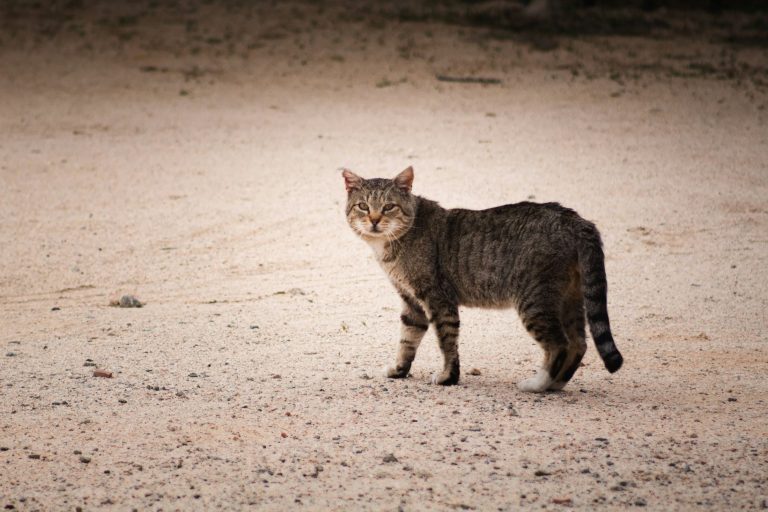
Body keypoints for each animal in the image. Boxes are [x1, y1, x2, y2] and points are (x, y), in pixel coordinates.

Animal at [342, 167, 624, 392]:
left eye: (388, 206)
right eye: (363, 206)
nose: (374, 220)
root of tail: (576, 220)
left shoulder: (438, 299)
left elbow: (447, 342)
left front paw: (447, 377)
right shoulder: (412, 302)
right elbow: (407, 340)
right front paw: (399, 371)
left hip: (534, 301)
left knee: (560, 345)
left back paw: (538, 384)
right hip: (569, 299)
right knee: (579, 344)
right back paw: (555, 384)